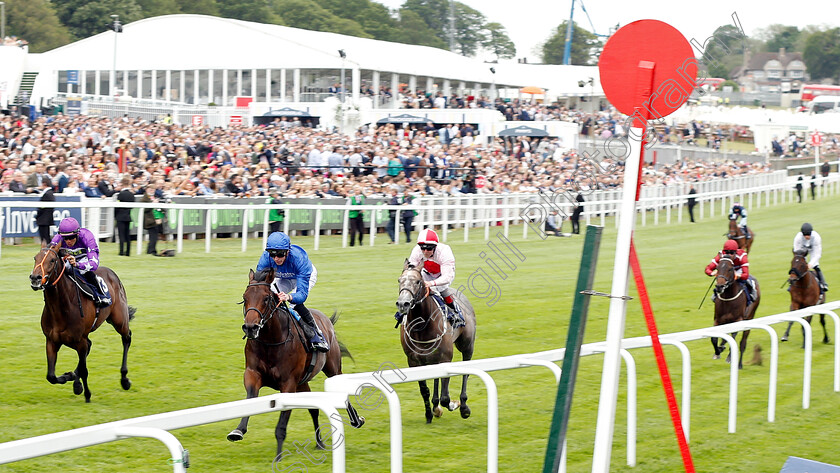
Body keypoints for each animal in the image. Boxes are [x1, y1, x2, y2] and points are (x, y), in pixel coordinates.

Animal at [28, 243, 134, 402]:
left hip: (119, 320)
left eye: (52, 260)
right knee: (90, 346)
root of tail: (112, 274)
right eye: (35, 258)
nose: (35, 278)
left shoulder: (80, 340)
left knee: (127, 338)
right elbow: (51, 376)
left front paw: (87, 394)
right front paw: (70, 377)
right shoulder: (52, 341)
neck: (61, 308)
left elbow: (84, 370)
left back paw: (124, 380)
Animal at [398, 260, 476, 422]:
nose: (403, 303)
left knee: (465, 373)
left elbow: (445, 397)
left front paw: (455, 404)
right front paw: (429, 414)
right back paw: (435, 406)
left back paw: (463, 406)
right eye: (399, 280)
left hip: (467, 346)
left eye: (418, 281)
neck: (421, 327)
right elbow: (424, 390)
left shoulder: (445, 358)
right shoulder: (414, 361)